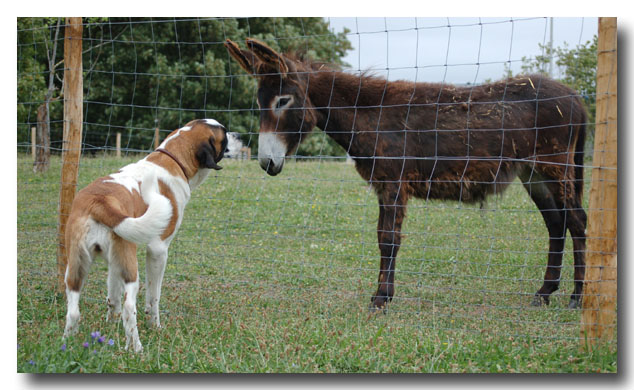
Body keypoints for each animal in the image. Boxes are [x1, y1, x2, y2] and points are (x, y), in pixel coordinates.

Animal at [61, 118, 230, 350]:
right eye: (224, 135)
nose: (235, 135)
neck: (172, 159)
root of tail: (100, 201)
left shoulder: (114, 262)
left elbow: (112, 297)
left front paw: (110, 324)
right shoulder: (158, 250)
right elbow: (153, 297)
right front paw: (155, 326)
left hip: (78, 265)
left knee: (74, 310)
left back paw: (68, 341)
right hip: (131, 267)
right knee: (129, 307)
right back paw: (136, 348)